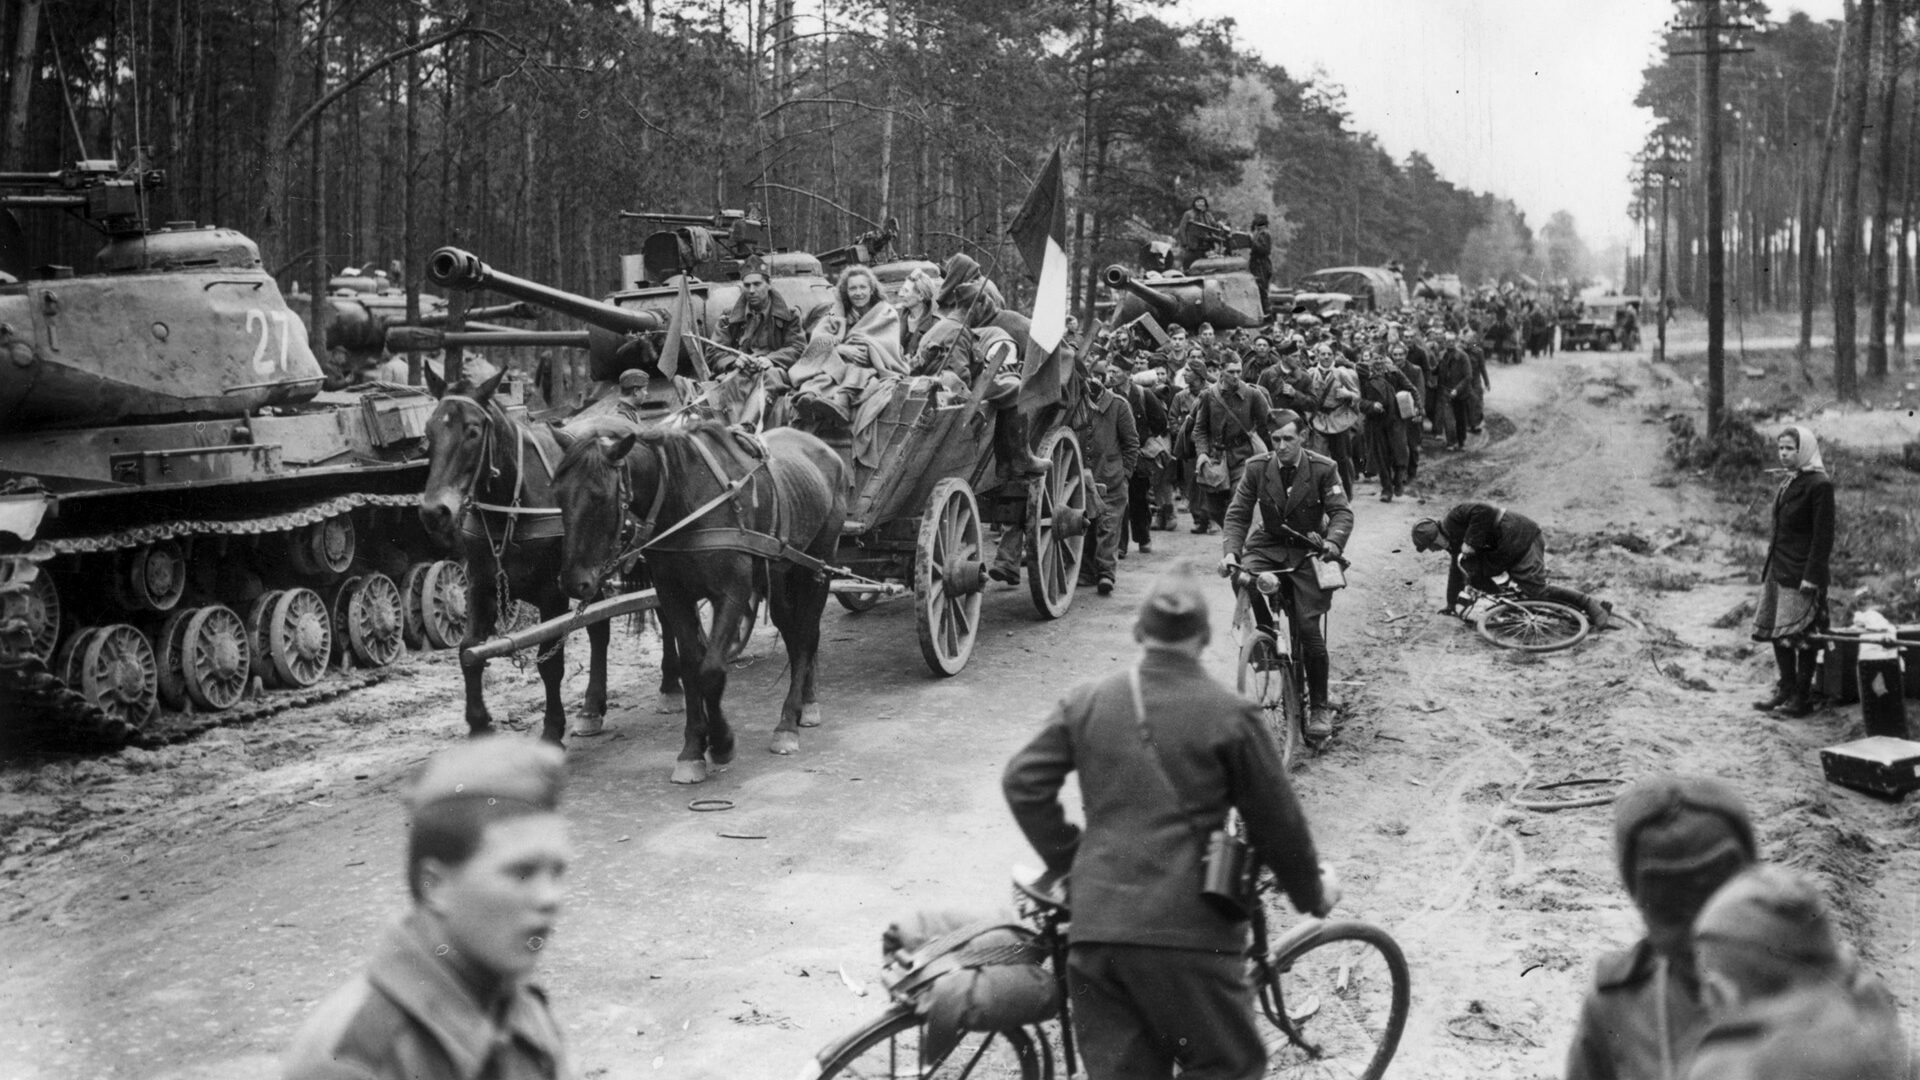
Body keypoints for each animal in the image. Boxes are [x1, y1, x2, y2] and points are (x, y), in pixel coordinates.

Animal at [420, 367, 683, 737]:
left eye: (472, 430)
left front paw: (552, 730)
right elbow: (469, 650)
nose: (434, 511)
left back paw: (670, 685)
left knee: (665, 610)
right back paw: (591, 707)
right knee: (600, 630)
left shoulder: (552, 592)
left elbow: (551, 662)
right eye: (429, 431)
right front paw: (479, 725)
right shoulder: (480, 585)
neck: (512, 507)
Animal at [552, 417, 844, 776]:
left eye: (598, 496)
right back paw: (806, 700)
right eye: (559, 494)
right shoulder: (673, 596)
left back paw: (789, 721)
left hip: (817, 568)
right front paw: (692, 749)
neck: (685, 499)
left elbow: (711, 670)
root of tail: (826, 449)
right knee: (795, 634)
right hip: (780, 576)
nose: (573, 583)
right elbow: (691, 665)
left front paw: (721, 743)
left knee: (806, 635)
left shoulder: (732, 594)